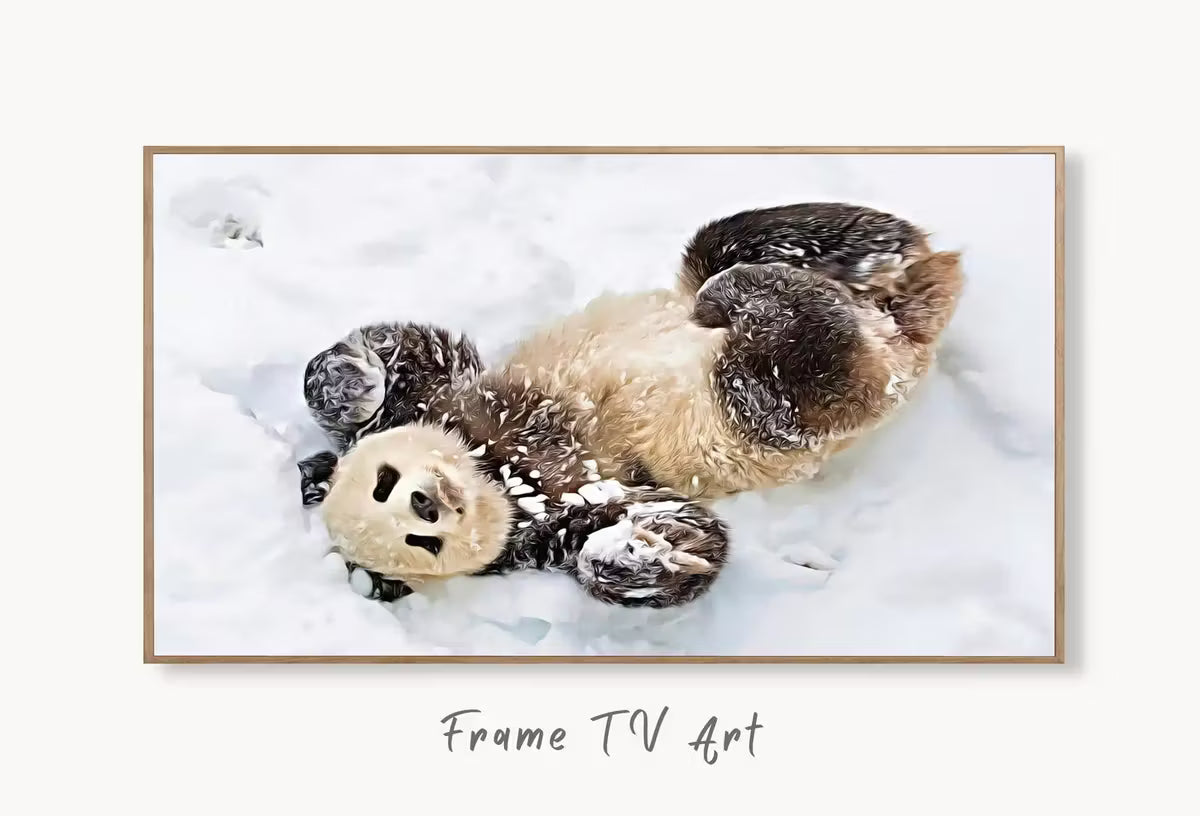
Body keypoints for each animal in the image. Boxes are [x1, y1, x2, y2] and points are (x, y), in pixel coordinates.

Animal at [298, 202, 963, 604]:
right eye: (421, 543)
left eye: (385, 483)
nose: (428, 503)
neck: (499, 470)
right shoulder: (547, 526)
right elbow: (685, 532)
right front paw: (629, 557)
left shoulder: (450, 397)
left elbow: (419, 350)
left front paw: (347, 384)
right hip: (780, 407)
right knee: (802, 357)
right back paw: (764, 296)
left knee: (736, 241)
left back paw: (857, 257)